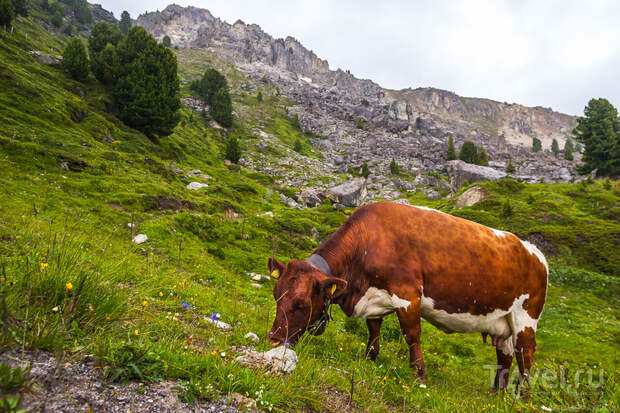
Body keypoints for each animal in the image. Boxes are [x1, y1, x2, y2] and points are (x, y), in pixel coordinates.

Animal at [266, 201, 548, 392]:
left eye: (301, 304)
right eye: (277, 295)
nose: (274, 339)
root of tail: (534, 252)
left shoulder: (408, 294)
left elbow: (412, 334)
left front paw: (419, 374)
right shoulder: (374, 297)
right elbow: (373, 328)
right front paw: (370, 357)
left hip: (526, 317)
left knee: (525, 354)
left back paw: (522, 396)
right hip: (502, 321)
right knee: (505, 355)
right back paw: (495, 394)